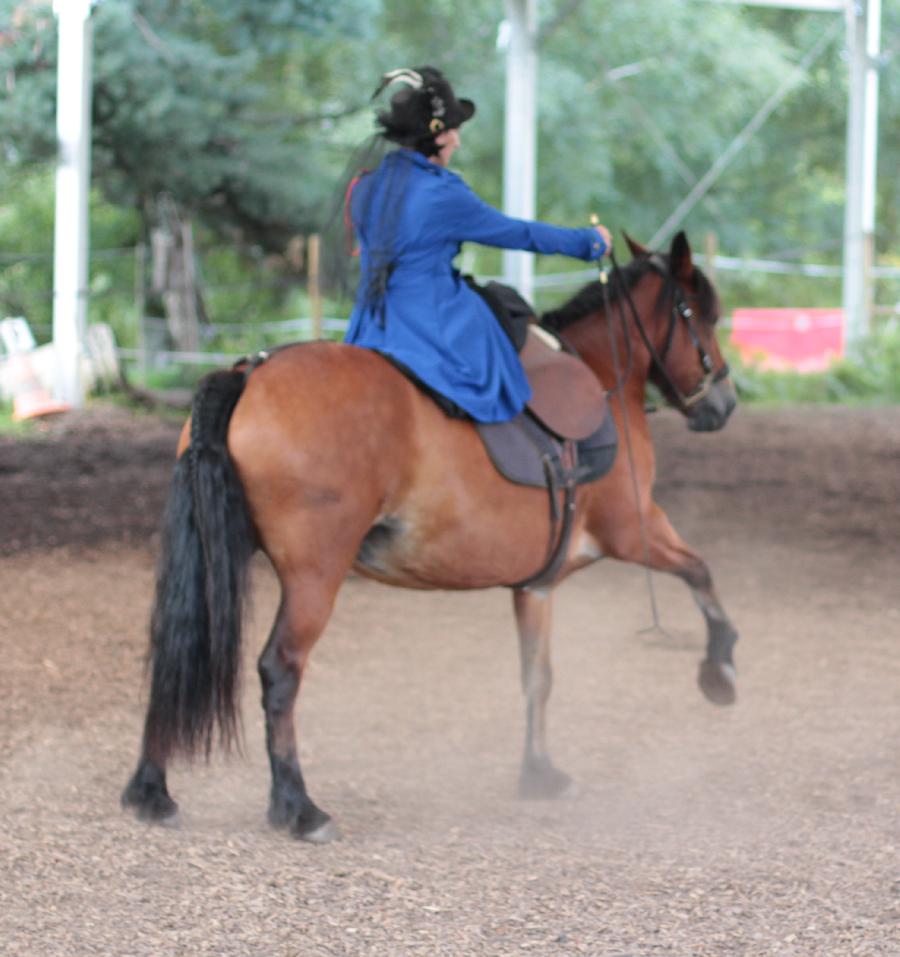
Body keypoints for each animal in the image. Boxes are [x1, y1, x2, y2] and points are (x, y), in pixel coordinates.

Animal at [119, 232, 740, 844]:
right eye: (702, 314)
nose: (724, 403)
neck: (602, 377)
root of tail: (251, 374)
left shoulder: (535, 586)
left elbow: (538, 678)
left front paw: (539, 771)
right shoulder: (634, 528)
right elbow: (701, 571)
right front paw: (721, 670)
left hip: (208, 556)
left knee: (176, 650)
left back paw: (150, 792)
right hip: (315, 577)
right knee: (280, 670)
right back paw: (299, 808)